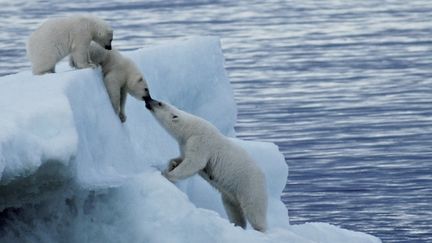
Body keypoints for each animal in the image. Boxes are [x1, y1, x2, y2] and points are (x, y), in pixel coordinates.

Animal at [145, 97, 266, 232]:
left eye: (160, 103)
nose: (148, 100)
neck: (190, 128)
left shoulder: (200, 141)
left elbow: (194, 162)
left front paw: (166, 174)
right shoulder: (184, 144)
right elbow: (183, 158)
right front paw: (172, 164)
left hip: (249, 185)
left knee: (254, 210)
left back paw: (260, 229)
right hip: (230, 194)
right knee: (233, 209)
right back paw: (237, 225)